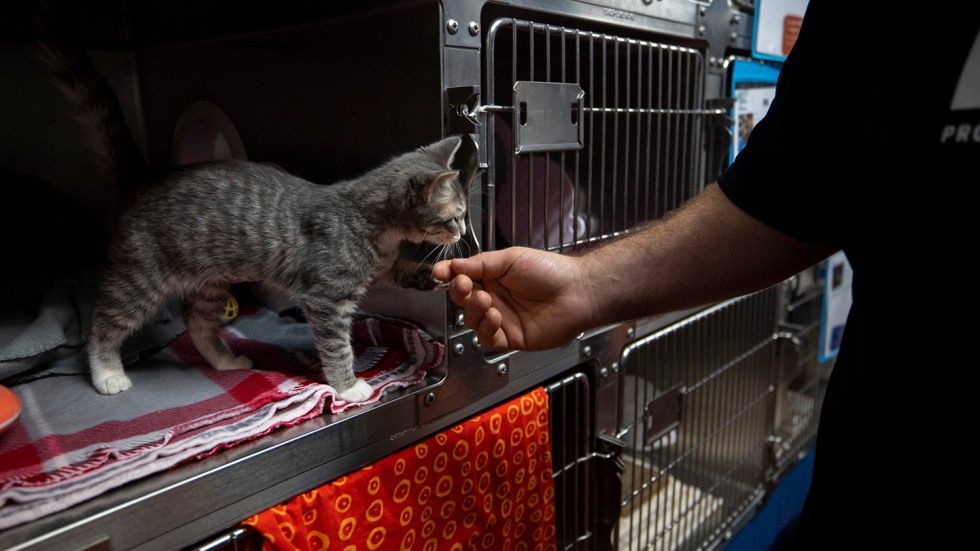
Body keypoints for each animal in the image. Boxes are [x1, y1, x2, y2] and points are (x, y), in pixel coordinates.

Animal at [38, 4, 478, 404]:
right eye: (455, 216)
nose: (462, 232)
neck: (370, 222)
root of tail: (143, 174)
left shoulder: (382, 267)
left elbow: (406, 270)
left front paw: (439, 274)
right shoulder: (326, 297)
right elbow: (336, 345)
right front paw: (347, 385)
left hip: (210, 281)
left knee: (197, 323)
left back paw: (224, 360)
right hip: (141, 276)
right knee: (104, 320)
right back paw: (106, 372)